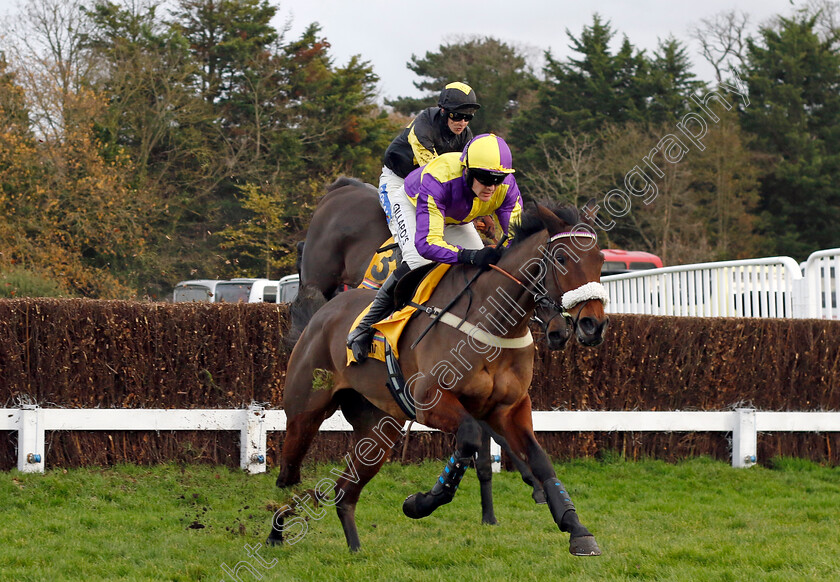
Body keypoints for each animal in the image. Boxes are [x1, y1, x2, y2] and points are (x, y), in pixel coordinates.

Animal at [272, 203, 608, 556]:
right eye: (562, 258)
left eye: (599, 260)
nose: (593, 325)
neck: (494, 323)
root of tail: (320, 315)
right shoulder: (430, 402)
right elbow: (469, 439)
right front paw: (421, 502)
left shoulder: (509, 409)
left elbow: (539, 461)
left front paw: (576, 529)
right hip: (306, 412)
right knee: (288, 474)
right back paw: (275, 532)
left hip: (378, 431)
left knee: (344, 491)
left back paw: (354, 548)